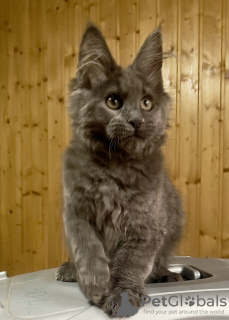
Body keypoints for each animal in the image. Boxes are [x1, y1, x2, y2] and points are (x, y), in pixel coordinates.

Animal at [56, 23, 185, 316]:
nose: (136, 121)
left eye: (147, 103)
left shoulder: (146, 227)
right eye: (113, 101)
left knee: (157, 263)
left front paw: (123, 295)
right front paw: (95, 281)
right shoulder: (75, 212)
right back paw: (69, 270)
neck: (114, 167)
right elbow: (86, 247)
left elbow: (129, 264)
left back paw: (164, 274)